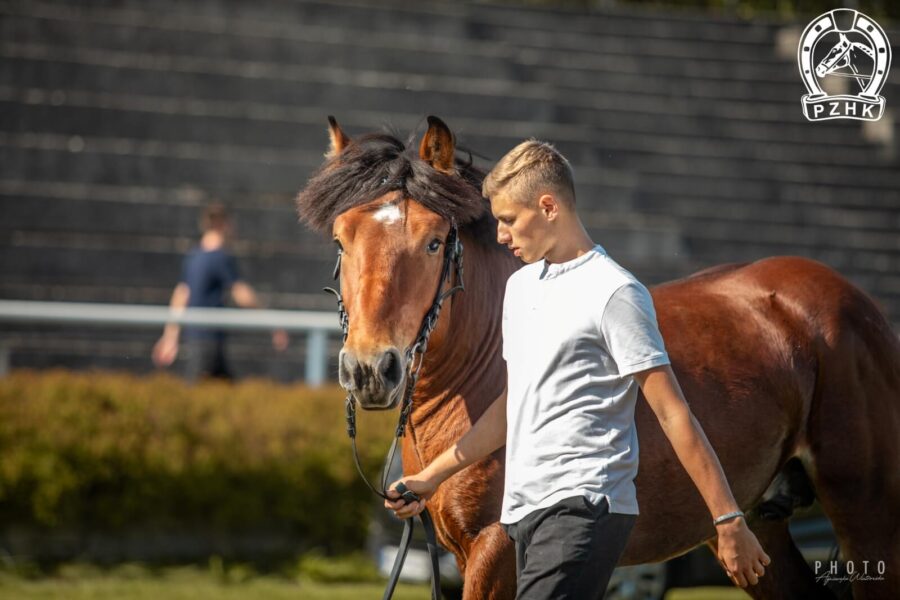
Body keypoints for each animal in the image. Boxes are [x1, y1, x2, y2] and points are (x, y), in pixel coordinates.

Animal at [298, 115, 900, 596]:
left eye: (432, 242)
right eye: (341, 241)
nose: (370, 370)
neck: (483, 372)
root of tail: (856, 304)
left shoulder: (496, 552)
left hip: (868, 512)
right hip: (761, 527)